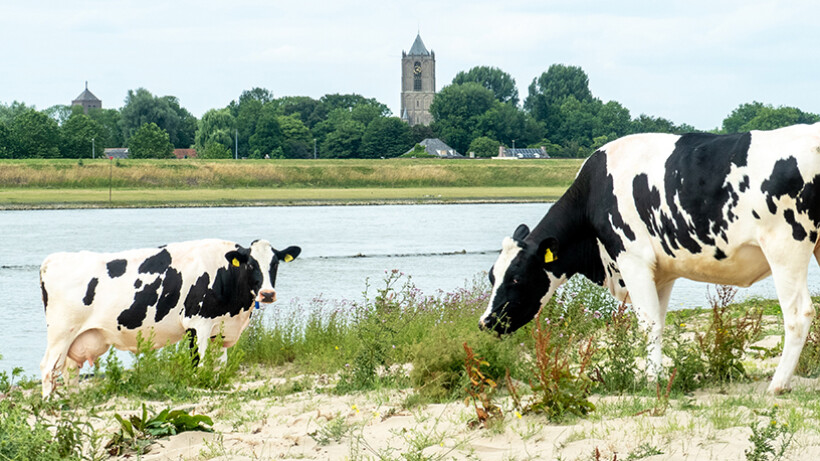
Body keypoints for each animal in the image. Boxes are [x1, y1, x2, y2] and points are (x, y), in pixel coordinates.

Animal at [38, 237, 302, 396]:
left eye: (275, 264)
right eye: (250, 265)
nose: (267, 293)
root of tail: (52, 259)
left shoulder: (219, 330)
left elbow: (219, 367)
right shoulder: (198, 324)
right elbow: (200, 364)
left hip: (77, 339)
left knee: (70, 371)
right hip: (60, 333)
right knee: (49, 368)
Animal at [478, 122, 820, 392]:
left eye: (516, 277)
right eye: (492, 275)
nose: (485, 322)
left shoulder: (632, 258)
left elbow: (648, 322)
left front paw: (651, 380)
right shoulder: (662, 272)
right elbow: (658, 321)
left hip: (785, 246)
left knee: (798, 314)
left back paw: (778, 385)